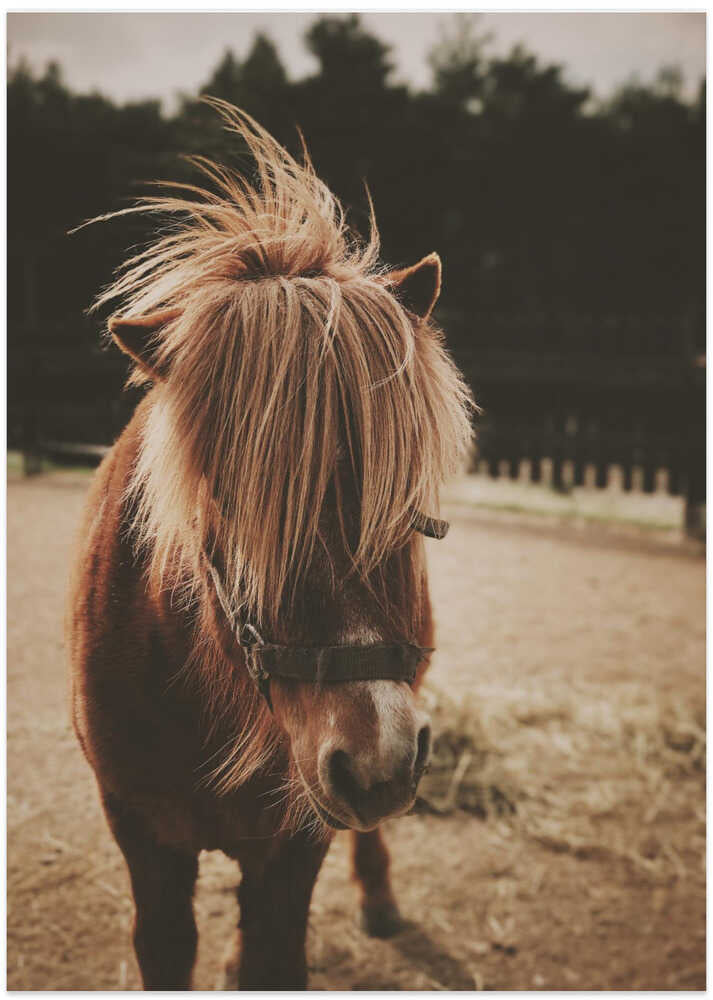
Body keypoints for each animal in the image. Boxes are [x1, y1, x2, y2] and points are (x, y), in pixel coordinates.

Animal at [67, 100, 474, 989]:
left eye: (403, 496)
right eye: (228, 504)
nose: (375, 759)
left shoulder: (295, 845)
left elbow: (274, 951)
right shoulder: (142, 838)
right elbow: (169, 946)